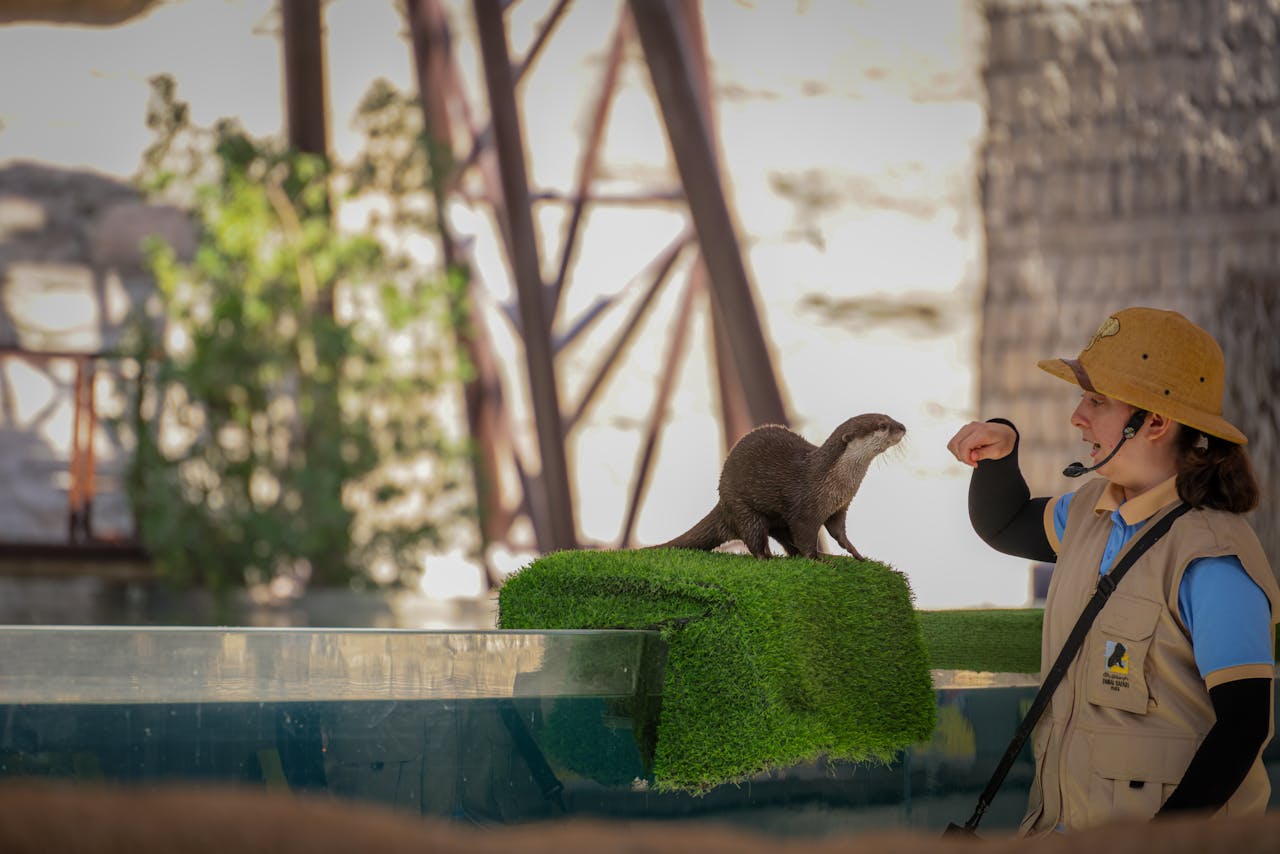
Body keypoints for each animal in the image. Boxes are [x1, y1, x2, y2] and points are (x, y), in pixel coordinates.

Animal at [653, 413, 905, 560]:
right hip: (743, 508)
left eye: (889, 416)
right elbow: (805, 536)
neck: (832, 482)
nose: (902, 427)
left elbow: (838, 533)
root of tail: (722, 503)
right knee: (755, 539)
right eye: (882, 425)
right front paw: (818, 560)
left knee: (785, 540)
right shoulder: (805, 510)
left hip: (776, 520)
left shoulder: (839, 508)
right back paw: (767, 558)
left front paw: (857, 554)